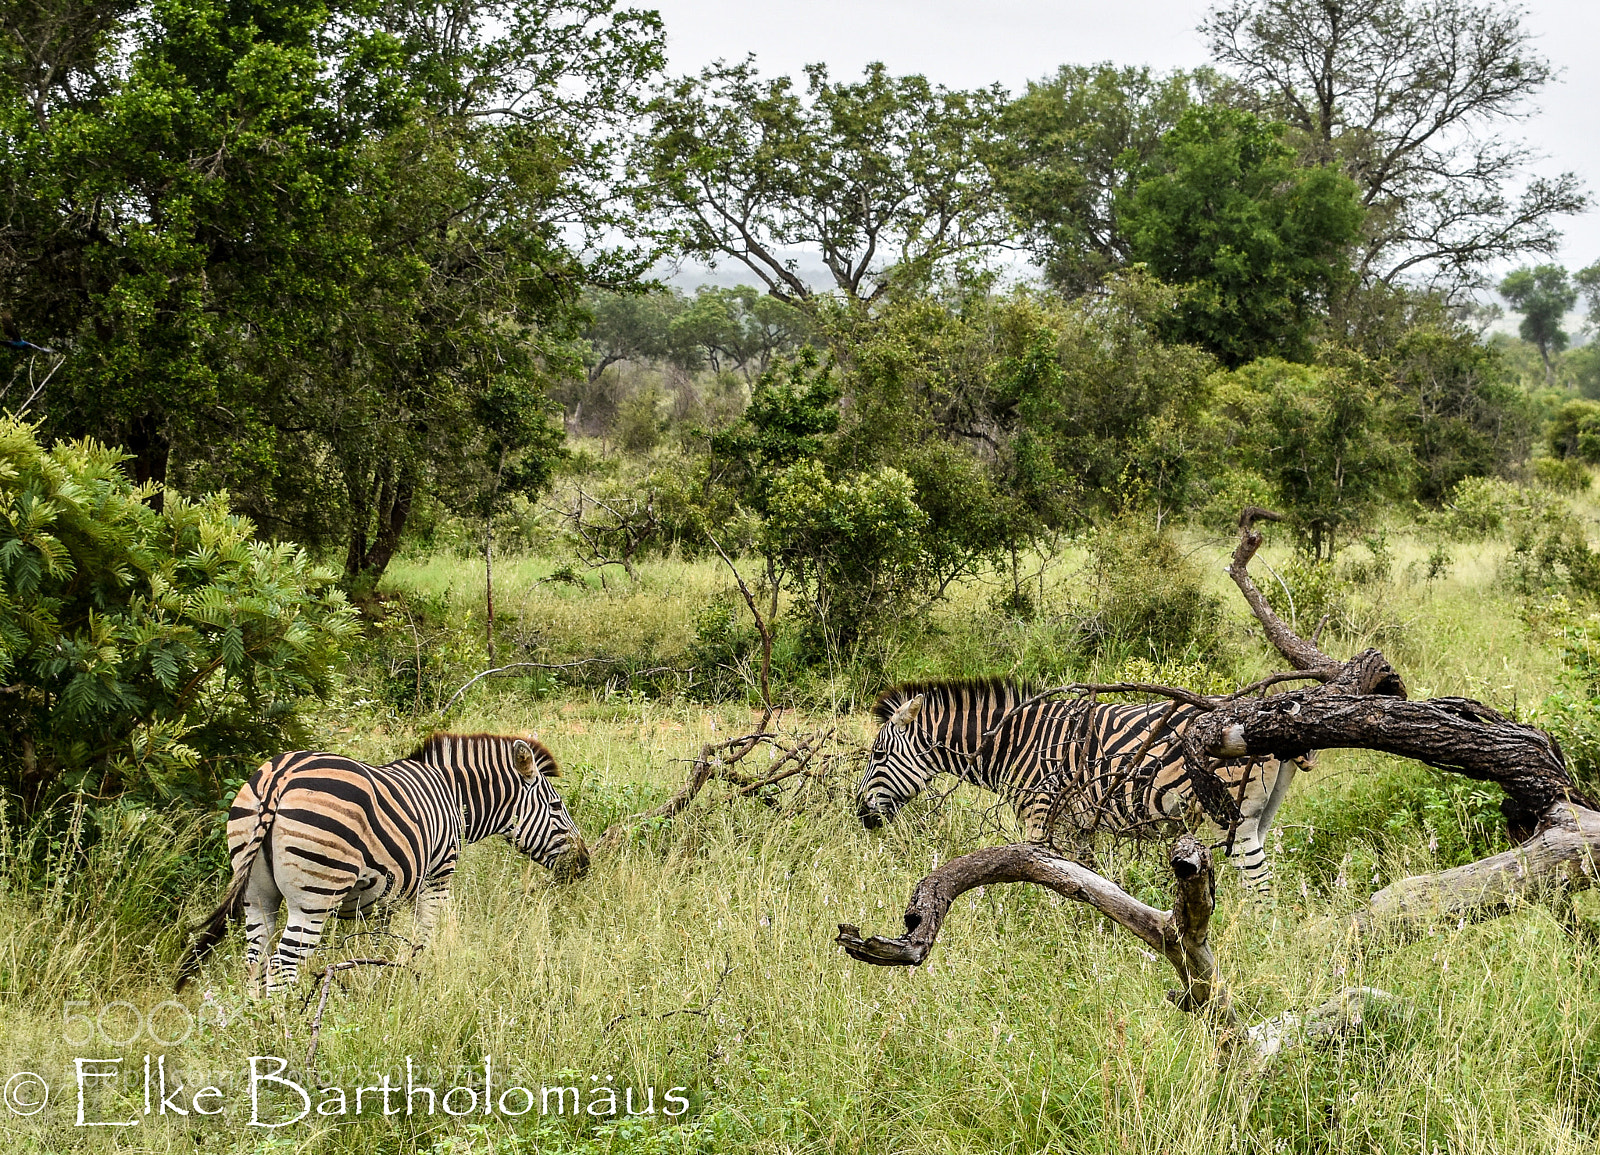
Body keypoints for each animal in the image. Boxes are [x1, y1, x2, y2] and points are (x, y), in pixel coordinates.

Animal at [177, 733, 589, 994]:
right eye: (557, 807)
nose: (584, 864)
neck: (454, 796)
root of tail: (280, 778)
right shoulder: (439, 873)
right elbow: (424, 933)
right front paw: (414, 975)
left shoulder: (381, 896)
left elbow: (378, 941)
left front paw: (376, 977)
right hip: (313, 898)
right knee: (283, 965)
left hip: (256, 894)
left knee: (255, 959)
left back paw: (256, 1025)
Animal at [856, 679, 1313, 892]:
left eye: (877, 755)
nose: (860, 815)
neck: (1014, 744)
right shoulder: (1077, 824)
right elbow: (1084, 881)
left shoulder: (1040, 813)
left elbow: (1036, 879)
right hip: (1262, 815)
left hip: (1233, 816)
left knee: (1259, 883)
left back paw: (1257, 937)